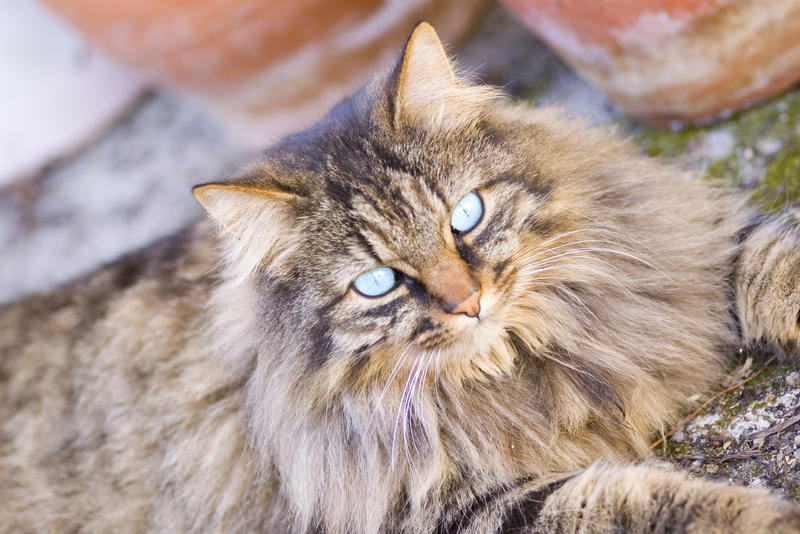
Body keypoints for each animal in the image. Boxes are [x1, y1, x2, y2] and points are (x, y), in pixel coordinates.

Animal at [1, 22, 800, 534]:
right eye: (378, 283)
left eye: (465, 215)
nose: (469, 302)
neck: (524, 358)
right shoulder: (444, 510)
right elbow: (639, 504)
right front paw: (760, 518)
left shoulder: (689, 251)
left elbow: (775, 265)